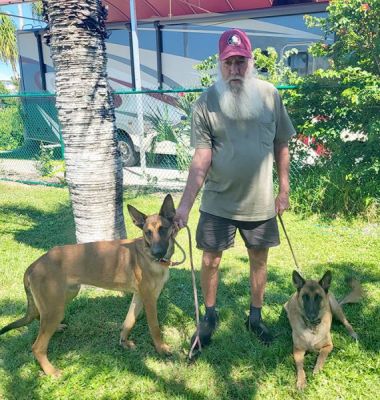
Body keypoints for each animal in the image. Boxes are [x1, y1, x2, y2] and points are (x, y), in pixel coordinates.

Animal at [0, 194, 177, 376]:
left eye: (163, 229)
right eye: (147, 232)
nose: (157, 253)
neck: (147, 253)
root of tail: (34, 264)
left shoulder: (139, 296)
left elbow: (129, 321)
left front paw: (123, 341)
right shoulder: (150, 299)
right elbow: (154, 327)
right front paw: (161, 349)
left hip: (61, 300)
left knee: (39, 318)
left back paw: (56, 329)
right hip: (56, 307)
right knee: (37, 346)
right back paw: (50, 371)